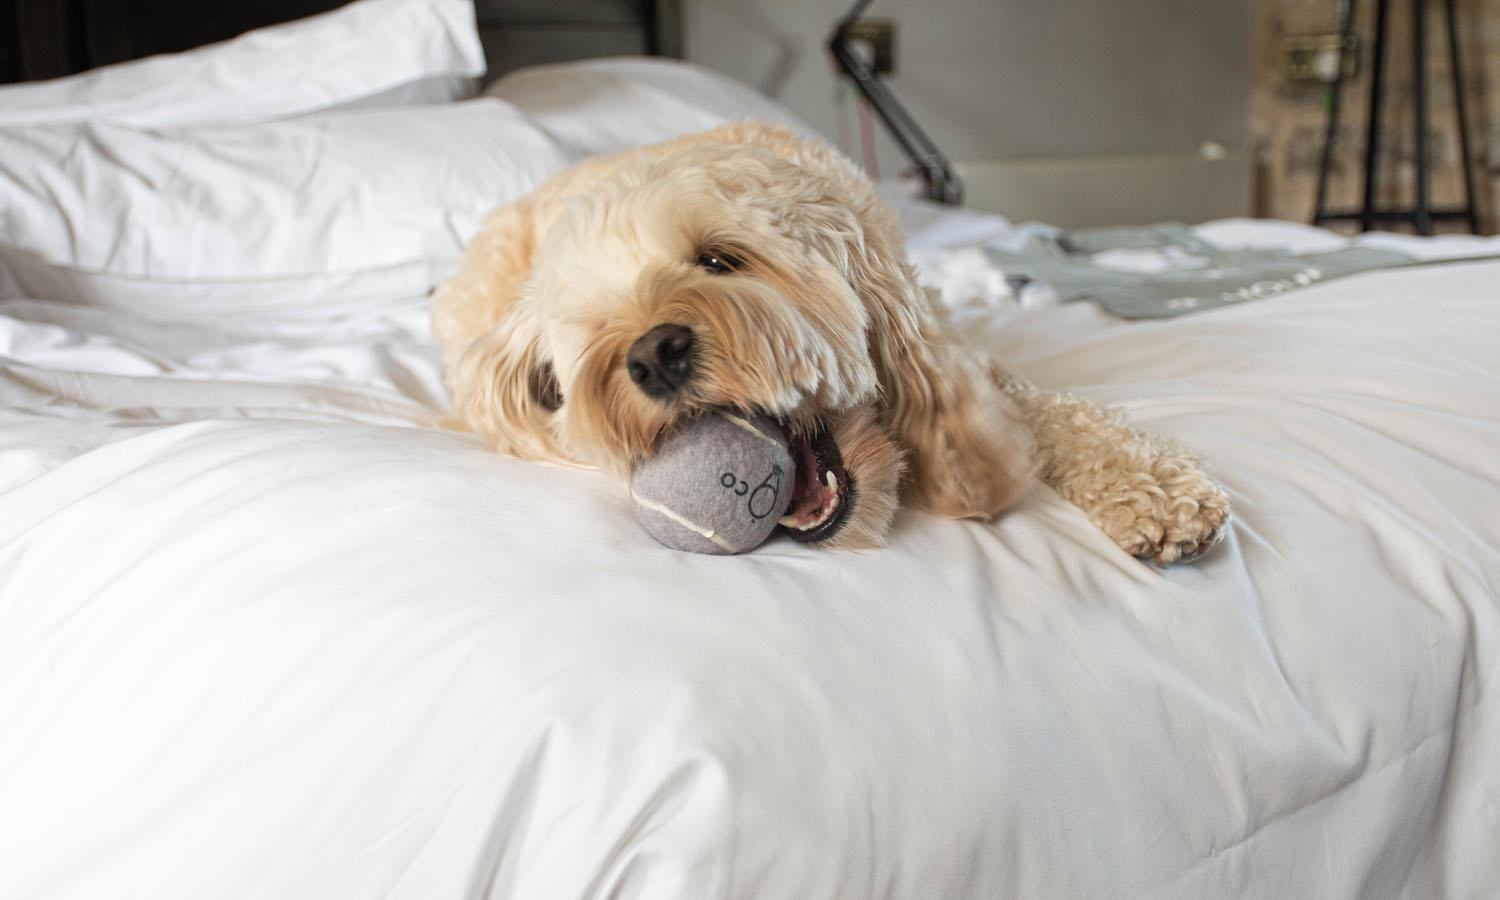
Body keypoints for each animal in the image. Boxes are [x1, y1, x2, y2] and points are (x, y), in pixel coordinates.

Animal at [435, 121, 1230, 564]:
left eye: (719, 259)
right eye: (596, 324)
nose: (652, 356)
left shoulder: (950, 351)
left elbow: (1059, 417)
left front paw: (1158, 494)